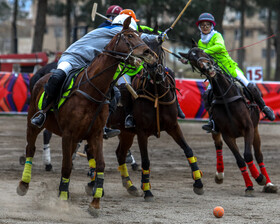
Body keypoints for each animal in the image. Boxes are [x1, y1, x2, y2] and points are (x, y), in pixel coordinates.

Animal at [16, 18, 158, 215]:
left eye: (139, 35)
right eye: (130, 36)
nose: (148, 53)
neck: (92, 89)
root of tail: (40, 77)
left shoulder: (95, 134)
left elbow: (100, 164)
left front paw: (95, 203)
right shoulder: (68, 134)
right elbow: (66, 166)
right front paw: (62, 200)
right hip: (34, 124)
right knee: (31, 148)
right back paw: (24, 184)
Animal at [100, 30, 203, 200]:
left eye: (158, 50)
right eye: (145, 52)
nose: (154, 68)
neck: (157, 93)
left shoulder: (173, 126)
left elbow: (188, 150)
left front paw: (198, 182)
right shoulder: (142, 132)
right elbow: (146, 161)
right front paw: (147, 190)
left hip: (126, 133)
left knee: (120, 154)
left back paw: (130, 185)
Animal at [179, 44, 278, 195]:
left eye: (202, 52)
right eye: (192, 60)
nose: (208, 67)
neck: (226, 97)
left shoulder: (249, 128)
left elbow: (248, 155)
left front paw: (260, 178)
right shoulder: (227, 135)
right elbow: (240, 160)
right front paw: (250, 185)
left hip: (255, 130)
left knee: (259, 155)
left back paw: (269, 184)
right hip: (216, 131)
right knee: (218, 146)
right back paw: (219, 174)